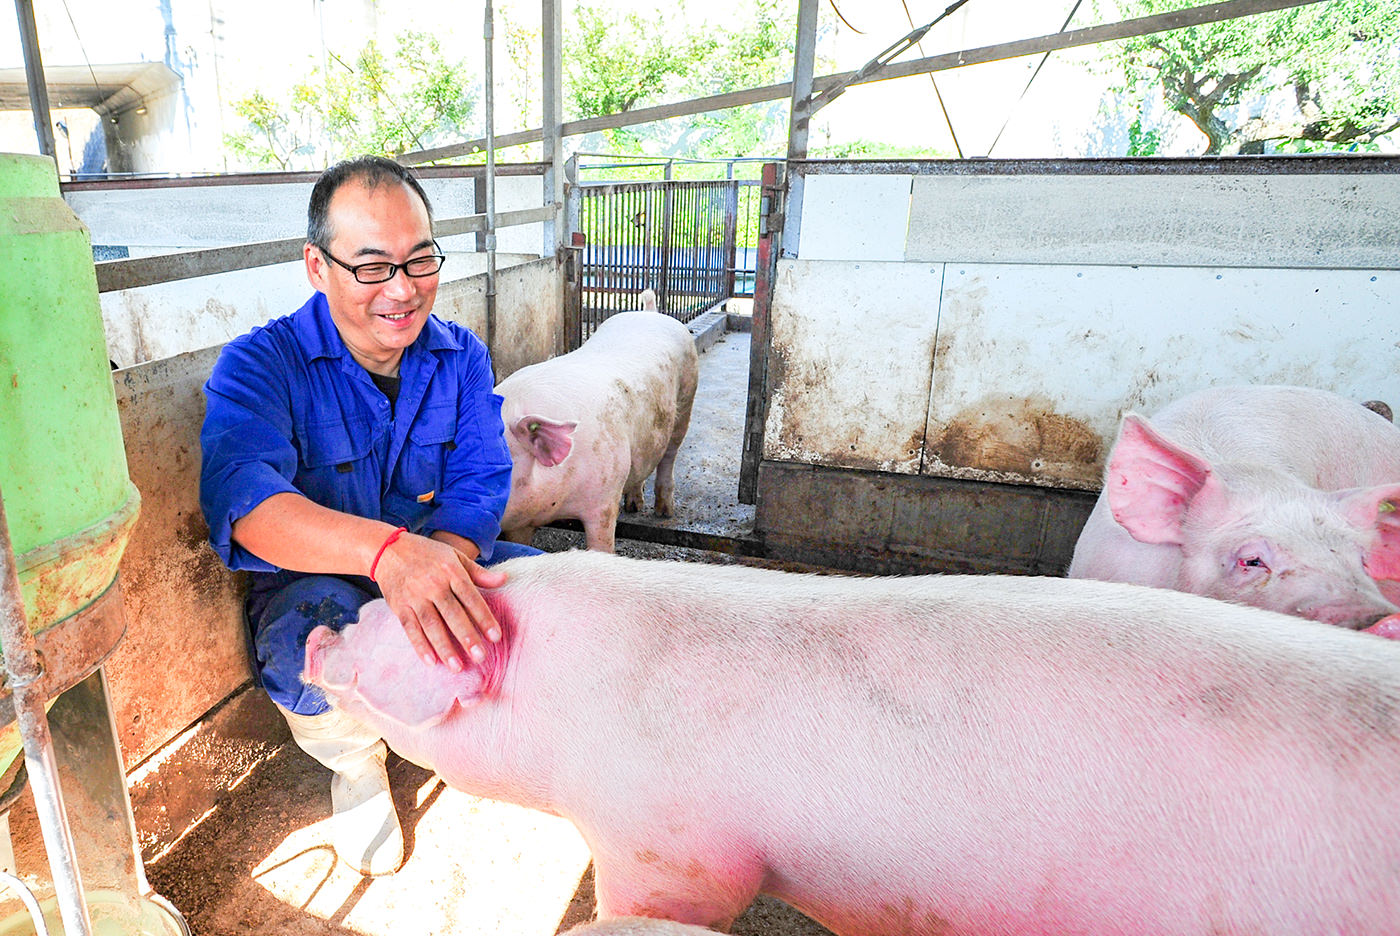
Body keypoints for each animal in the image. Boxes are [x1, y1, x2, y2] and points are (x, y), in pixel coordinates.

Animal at [498, 288, 705, 551]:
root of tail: (651, 313)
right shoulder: (520, 522)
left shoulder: (604, 497)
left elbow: (602, 542)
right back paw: (634, 505)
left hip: (687, 396)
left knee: (669, 455)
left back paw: (664, 512)